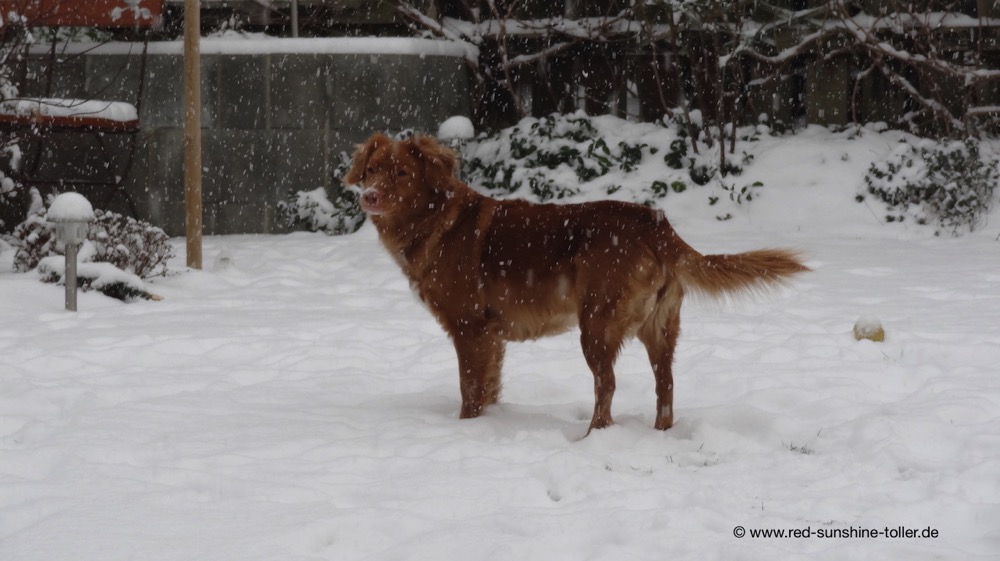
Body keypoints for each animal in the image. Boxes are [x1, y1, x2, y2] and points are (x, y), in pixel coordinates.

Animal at [345, 133, 809, 432]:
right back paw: (660, 432)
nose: (368, 196)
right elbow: (489, 388)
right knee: (666, 384)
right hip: (659, 327)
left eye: (402, 173)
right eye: (371, 170)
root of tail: (655, 222)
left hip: (597, 325)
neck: (435, 220)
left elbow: (469, 391)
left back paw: (592, 437)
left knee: (608, 385)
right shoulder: (491, 337)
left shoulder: (469, 328)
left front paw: (467, 430)